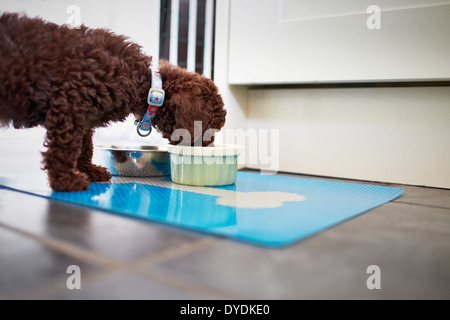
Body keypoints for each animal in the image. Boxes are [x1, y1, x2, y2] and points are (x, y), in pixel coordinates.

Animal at [0, 12, 225, 191]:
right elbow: (65, 149)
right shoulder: (68, 110)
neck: (147, 86)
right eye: (210, 127)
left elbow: (85, 148)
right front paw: (66, 181)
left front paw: (89, 171)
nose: (208, 146)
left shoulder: (84, 119)